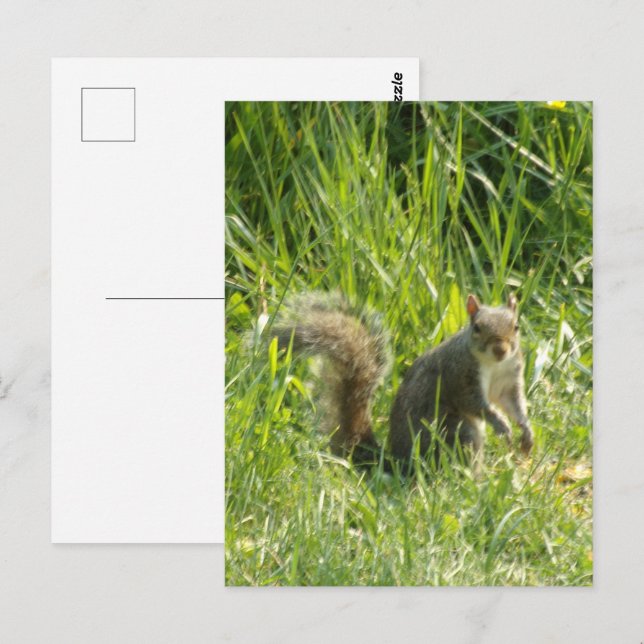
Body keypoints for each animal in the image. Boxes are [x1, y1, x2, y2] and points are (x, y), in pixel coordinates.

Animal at [272, 292, 533, 469]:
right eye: (477, 327)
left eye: (516, 326)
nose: (500, 349)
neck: (494, 365)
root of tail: (398, 461)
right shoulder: (459, 376)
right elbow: (476, 404)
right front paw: (501, 425)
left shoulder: (510, 379)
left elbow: (514, 403)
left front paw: (525, 430)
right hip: (454, 432)